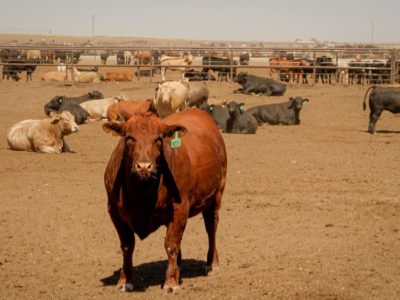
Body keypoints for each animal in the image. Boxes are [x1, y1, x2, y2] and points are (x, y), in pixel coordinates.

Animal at [102, 108, 228, 292]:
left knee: (211, 228)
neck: (141, 193)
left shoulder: (180, 207)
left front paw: (171, 282)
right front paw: (125, 280)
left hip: (216, 196)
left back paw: (212, 264)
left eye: (159, 139)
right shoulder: (114, 211)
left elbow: (171, 245)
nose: (144, 166)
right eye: (129, 137)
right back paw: (179, 267)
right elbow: (127, 246)